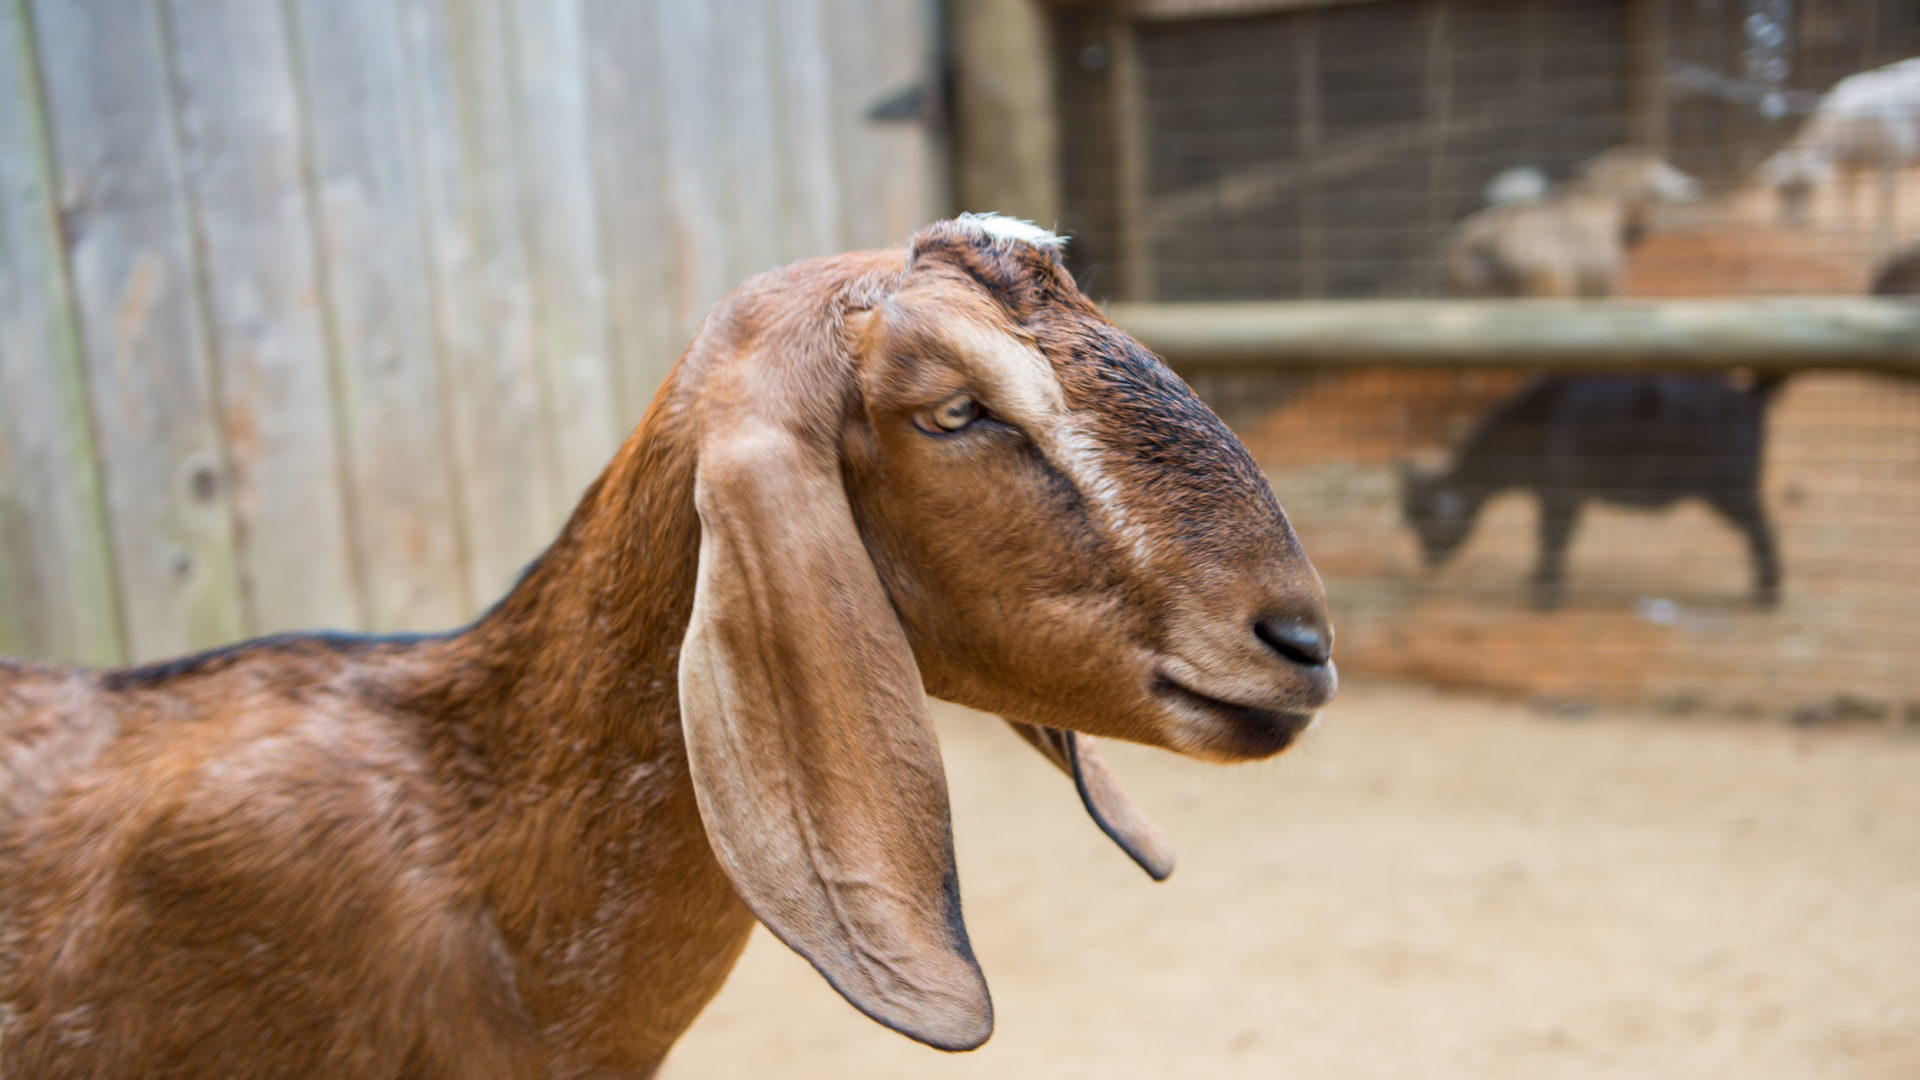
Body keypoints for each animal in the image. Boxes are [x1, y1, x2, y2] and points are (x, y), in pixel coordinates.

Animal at [1397, 372, 1781, 607]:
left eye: (1427, 524)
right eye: (1410, 525)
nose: (1427, 560)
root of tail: (1749, 396)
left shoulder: (1560, 495)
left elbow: (1551, 540)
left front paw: (1545, 596)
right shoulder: (1562, 497)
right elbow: (1556, 540)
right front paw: (1541, 581)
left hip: (1731, 490)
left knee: (1763, 532)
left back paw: (1767, 594)